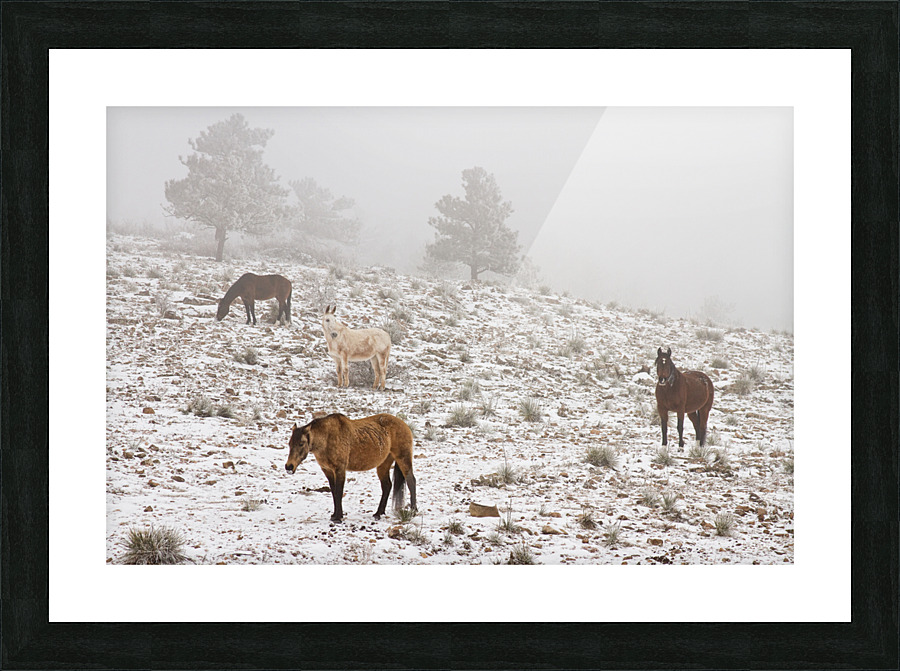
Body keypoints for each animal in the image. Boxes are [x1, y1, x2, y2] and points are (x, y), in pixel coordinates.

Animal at [285, 413, 417, 522]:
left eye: (301, 443)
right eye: (289, 443)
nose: (289, 467)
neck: (327, 439)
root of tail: (405, 425)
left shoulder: (340, 469)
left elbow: (339, 492)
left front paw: (338, 518)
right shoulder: (328, 471)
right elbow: (334, 492)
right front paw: (335, 515)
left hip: (403, 458)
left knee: (411, 481)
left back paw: (413, 510)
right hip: (383, 464)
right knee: (387, 486)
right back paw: (378, 513)